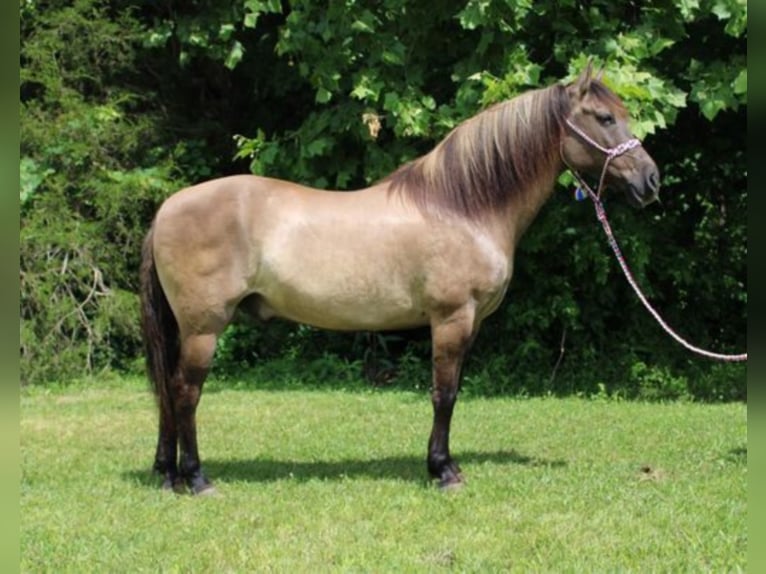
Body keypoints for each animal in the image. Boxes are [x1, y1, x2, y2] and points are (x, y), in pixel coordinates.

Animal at [141, 62, 664, 496]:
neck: (463, 207)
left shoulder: (470, 323)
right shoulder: (452, 319)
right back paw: (197, 479)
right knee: (185, 393)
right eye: (604, 118)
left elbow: (452, 392)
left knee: (167, 390)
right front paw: (444, 471)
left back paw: (167, 476)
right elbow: (444, 393)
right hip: (204, 328)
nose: (651, 181)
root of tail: (167, 208)